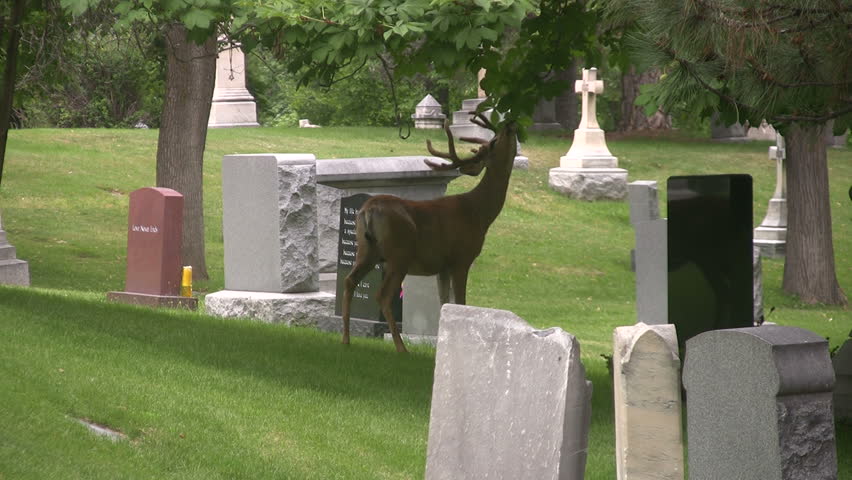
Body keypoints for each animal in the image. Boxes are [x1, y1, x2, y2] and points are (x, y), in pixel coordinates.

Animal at [341, 112, 519, 353]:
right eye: (494, 142)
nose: (509, 124)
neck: (479, 213)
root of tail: (369, 209)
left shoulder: (442, 266)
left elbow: (444, 303)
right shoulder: (461, 258)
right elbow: (460, 302)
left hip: (367, 249)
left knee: (349, 281)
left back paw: (346, 339)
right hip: (399, 253)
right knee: (383, 295)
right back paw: (401, 348)